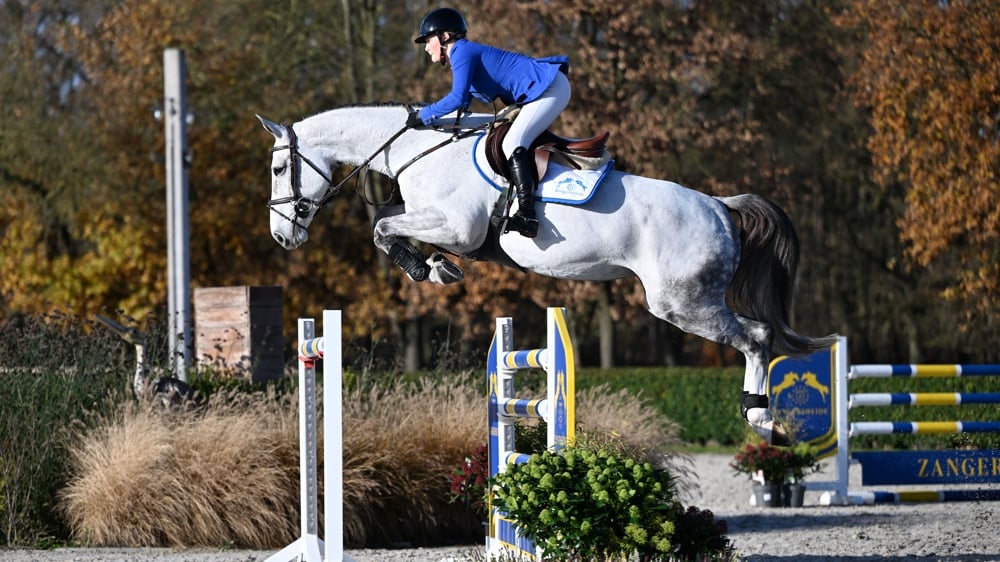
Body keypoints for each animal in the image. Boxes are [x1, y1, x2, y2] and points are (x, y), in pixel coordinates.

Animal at [258, 105, 836, 444]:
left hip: (682, 303)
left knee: (757, 337)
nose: (282, 238)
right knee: (757, 336)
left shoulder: (458, 225)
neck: (417, 150)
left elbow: (382, 227)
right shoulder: (436, 219)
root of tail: (721, 206)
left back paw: (761, 417)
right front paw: (436, 266)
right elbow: (389, 225)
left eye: (280, 169)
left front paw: (429, 267)